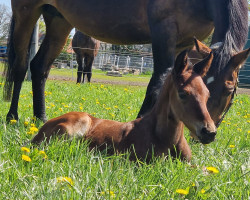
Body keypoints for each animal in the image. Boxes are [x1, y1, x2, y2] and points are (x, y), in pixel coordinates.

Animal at [31, 50, 217, 162]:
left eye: (208, 94)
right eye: (183, 93)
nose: (209, 132)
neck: (167, 139)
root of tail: (39, 131)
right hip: (76, 125)